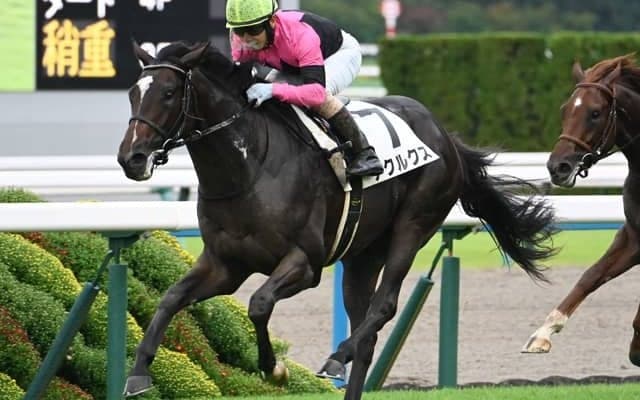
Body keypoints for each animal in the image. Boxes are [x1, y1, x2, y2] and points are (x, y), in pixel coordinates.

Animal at [117, 41, 557, 400]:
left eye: (169, 93)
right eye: (132, 94)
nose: (131, 158)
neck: (249, 167)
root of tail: (446, 136)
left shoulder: (305, 262)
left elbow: (259, 304)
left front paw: (273, 368)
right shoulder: (225, 265)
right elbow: (170, 299)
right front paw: (138, 374)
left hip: (413, 225)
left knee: (383, 308)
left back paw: (335, 356)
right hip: (362, 254)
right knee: (367, 330)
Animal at [523, 54, 640, 366]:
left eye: (595, 112)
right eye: (565, 109)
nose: (558, 167)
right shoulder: (632, 236)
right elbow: (591, 275)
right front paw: (542, 334)